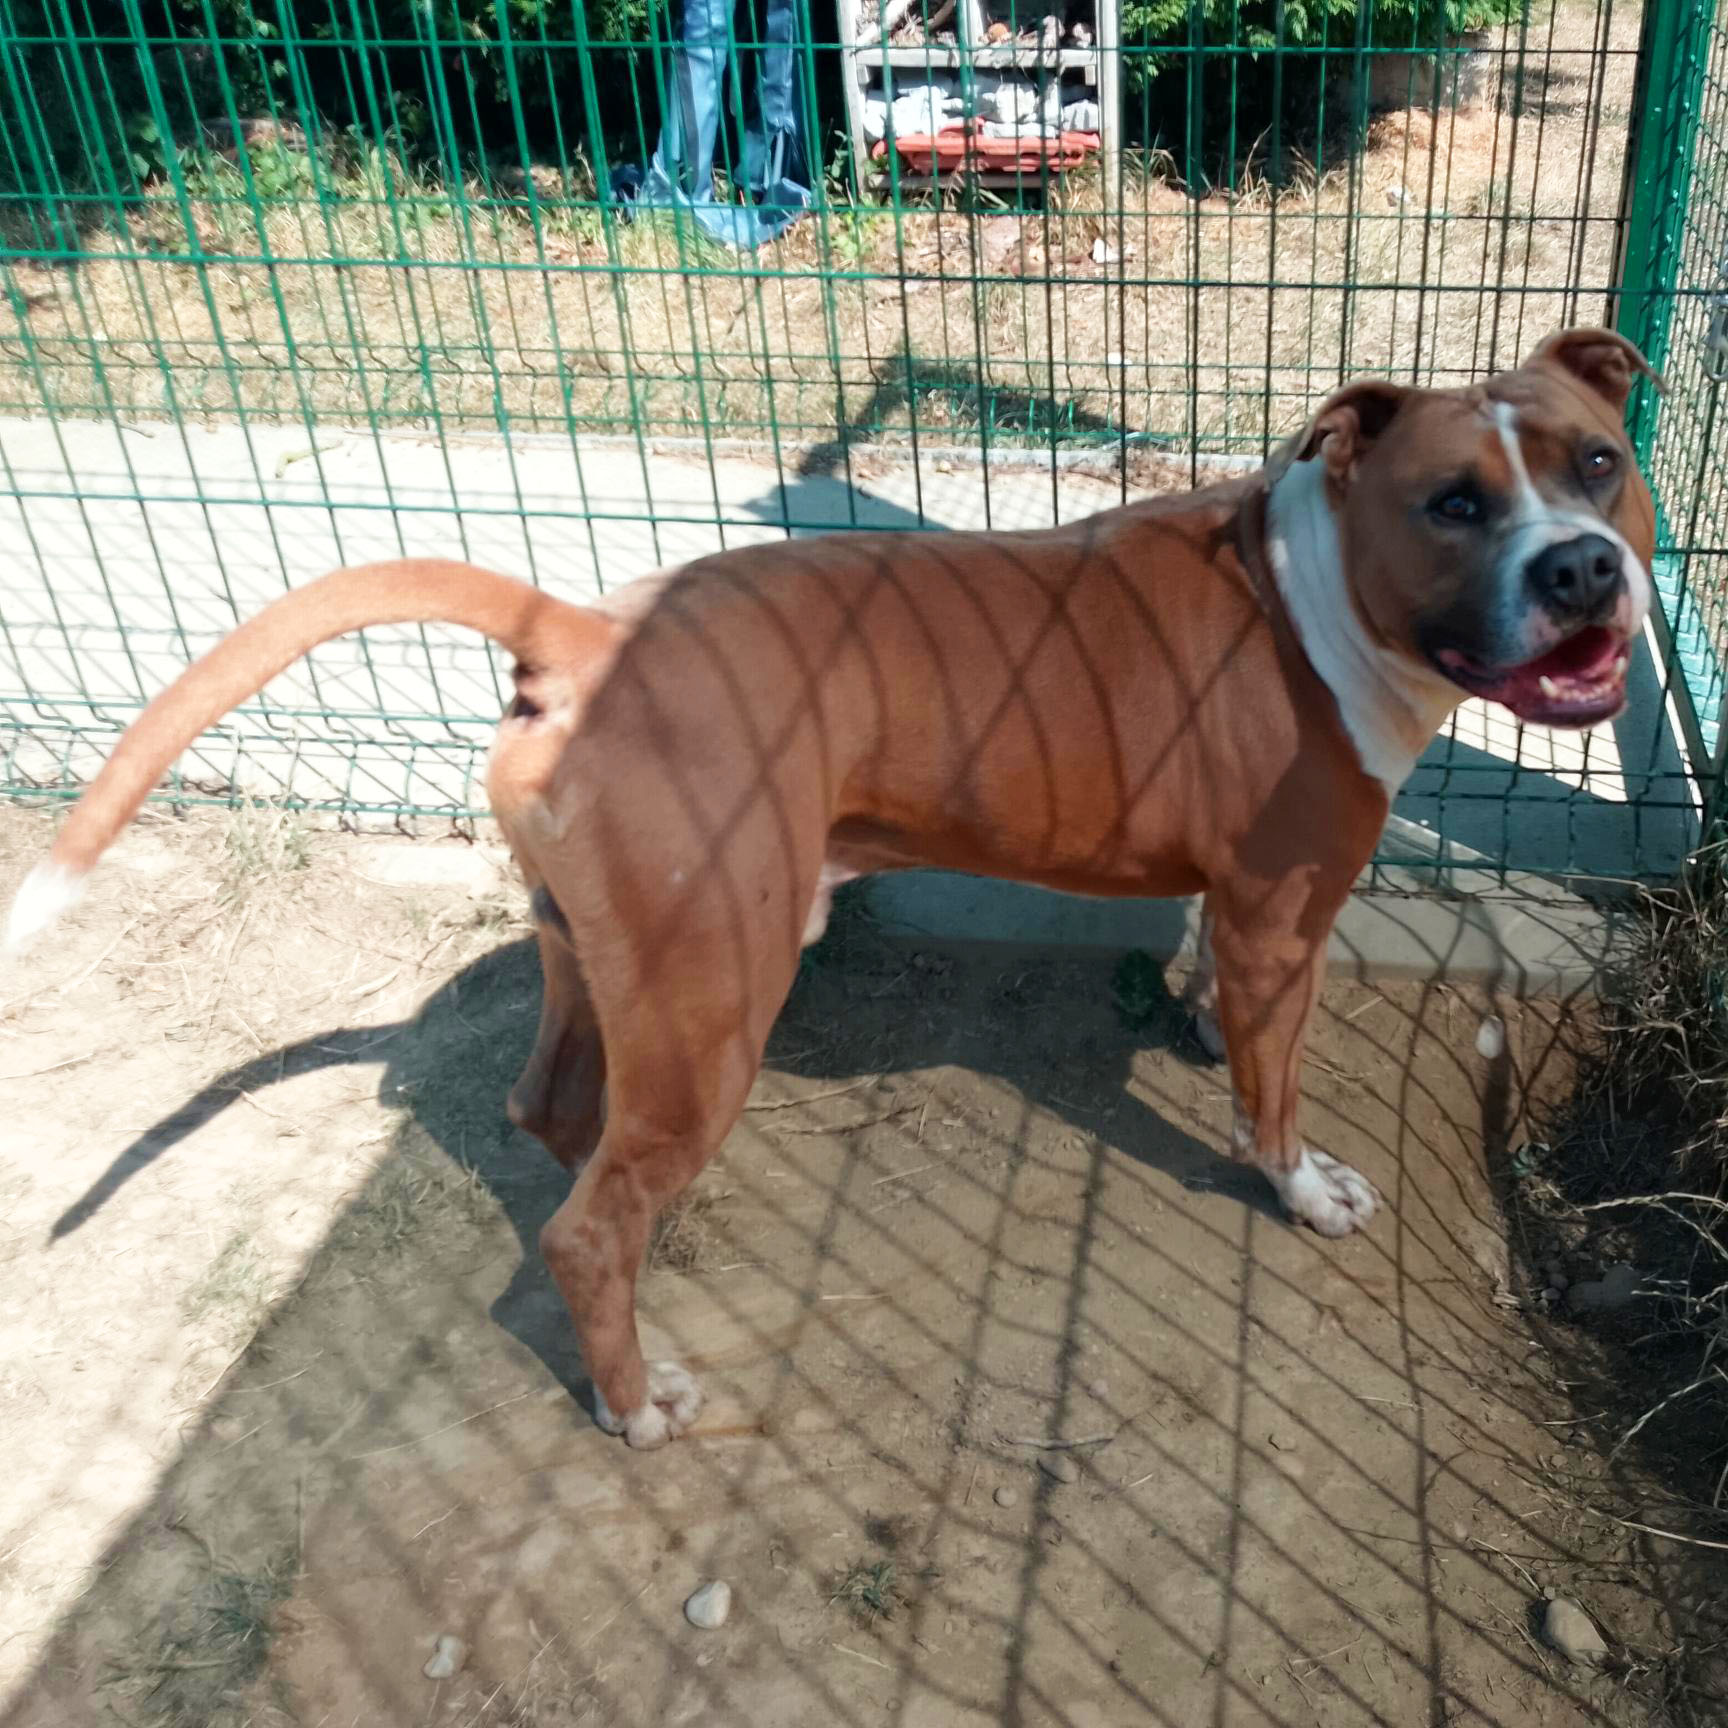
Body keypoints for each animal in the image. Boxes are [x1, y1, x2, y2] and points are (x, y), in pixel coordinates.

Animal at [5, 327, 1656, 1448]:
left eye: (1597, 463)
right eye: (1453, 503)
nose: (1585, 570)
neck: (1316, 588)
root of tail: (588, 631)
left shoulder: (1235, 904)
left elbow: (1210, 989)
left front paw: (1193, 1021)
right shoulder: (1282, 914)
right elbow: (1277, 1096)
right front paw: (1300, 1188)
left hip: (611, 964)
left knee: (560, 1128)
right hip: (717, 983)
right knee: (588, 1222)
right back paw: (634, 1397)